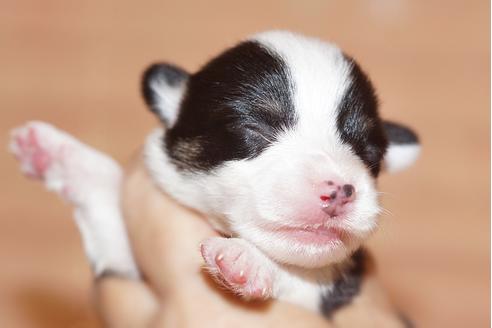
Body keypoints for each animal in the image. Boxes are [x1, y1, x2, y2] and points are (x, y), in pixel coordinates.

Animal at [9, 30, 418, 322]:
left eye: (370, 152)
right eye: (254, 128)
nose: (340, 190)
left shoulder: (340, 288)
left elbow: (307, 278)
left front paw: (248, 258)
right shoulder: (126, 265)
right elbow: (112, 208)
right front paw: (56, 153)